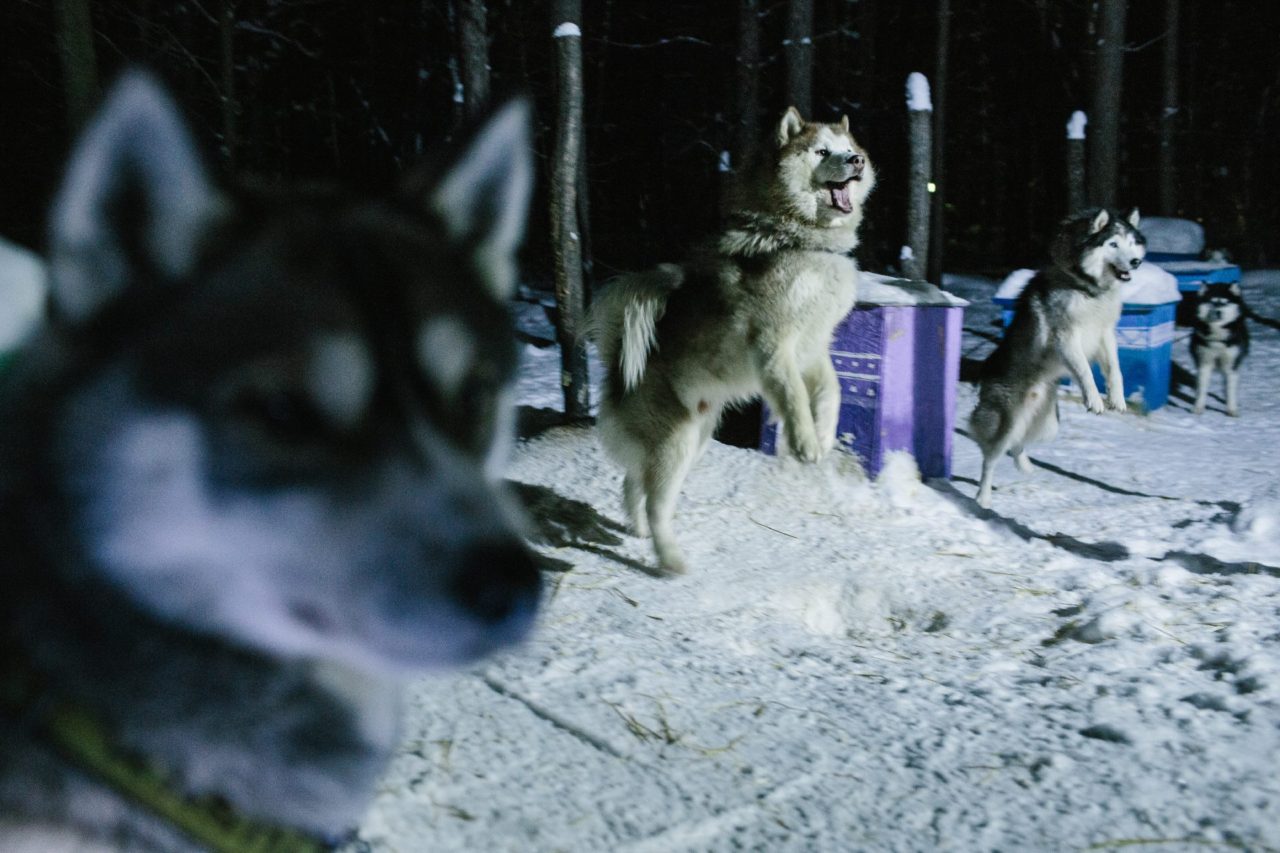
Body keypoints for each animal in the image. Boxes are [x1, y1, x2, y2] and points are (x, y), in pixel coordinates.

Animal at [590, 107, 874, 574]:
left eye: (849, 148)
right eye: (821, 151)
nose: (856, 162)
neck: (797, 240)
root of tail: (617, 373)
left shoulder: (812, 348)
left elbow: (831, 391)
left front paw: (824, 435)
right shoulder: (773, 346)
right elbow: (794, 395)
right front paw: (804, 443)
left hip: (695, 439)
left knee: (635, 485)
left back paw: (641, 533)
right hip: (676, 443)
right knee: (654, 500)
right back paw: (670, 559)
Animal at [970, 207, 1146, 509]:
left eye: (1131, 243)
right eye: (1113, 244)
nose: (1135, 262)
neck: (1087, 288)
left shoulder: (1105, 334)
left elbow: (1115, 370)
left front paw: (1117, 398)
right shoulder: (1065, 338)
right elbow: (1085, 371)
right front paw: (1095, 400)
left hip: (1048, 425)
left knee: (1017, 445)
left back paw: (1026, 466)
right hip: (1007, 422)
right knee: (991, 457)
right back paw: (983, 497)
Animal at [1191, 282, 1250, 416]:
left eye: (1225, 302)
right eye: (1212, 302)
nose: (1218, 312)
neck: (1218, 339)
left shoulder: (1231, 366)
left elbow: (1230, 390)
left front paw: (1232, 409)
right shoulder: (1204, 363)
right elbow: (1202, 389)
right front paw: (1199, 407)